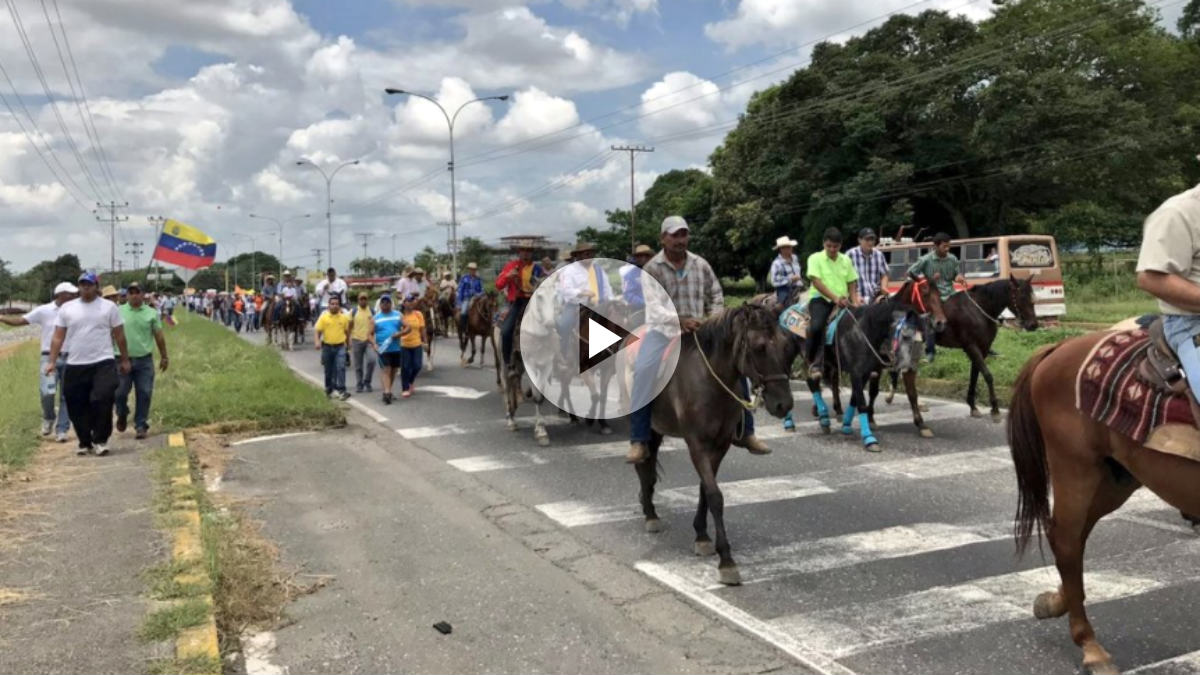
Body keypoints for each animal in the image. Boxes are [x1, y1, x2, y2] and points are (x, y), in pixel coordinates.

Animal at [633, 303, 792, 583]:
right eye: (759, 347)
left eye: (785, 344)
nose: (784, 404)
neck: (710, 380)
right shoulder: (696, 444)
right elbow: (715, 496)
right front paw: (726, 560)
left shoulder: (720, 444)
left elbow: (705, 490)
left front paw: (702, 536)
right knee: (642, 462)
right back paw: (650, 513)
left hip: (657, 429)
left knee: (649, 467)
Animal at [1008, 333, 1200, 672]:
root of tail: (1059, 349)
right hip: (1075, 469)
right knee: (1067, 541)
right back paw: (1091, 647)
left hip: (1116, 479)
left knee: (1074, 539)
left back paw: (1055, 602)